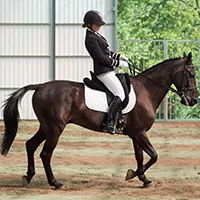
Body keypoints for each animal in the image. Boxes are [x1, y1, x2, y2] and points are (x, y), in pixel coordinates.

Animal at [0, 51, 198, 189]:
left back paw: (28, 176)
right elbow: (154, 155)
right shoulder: (139, 133)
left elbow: (141, 156)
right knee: (45, 154)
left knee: (30, 145)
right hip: (55, 129)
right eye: (192, 74)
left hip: (46, 127)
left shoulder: (136, 133)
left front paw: (143, 179)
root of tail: (40, 86)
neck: (146, 90)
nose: (193, 100)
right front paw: (133, 175)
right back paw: (55, 183)